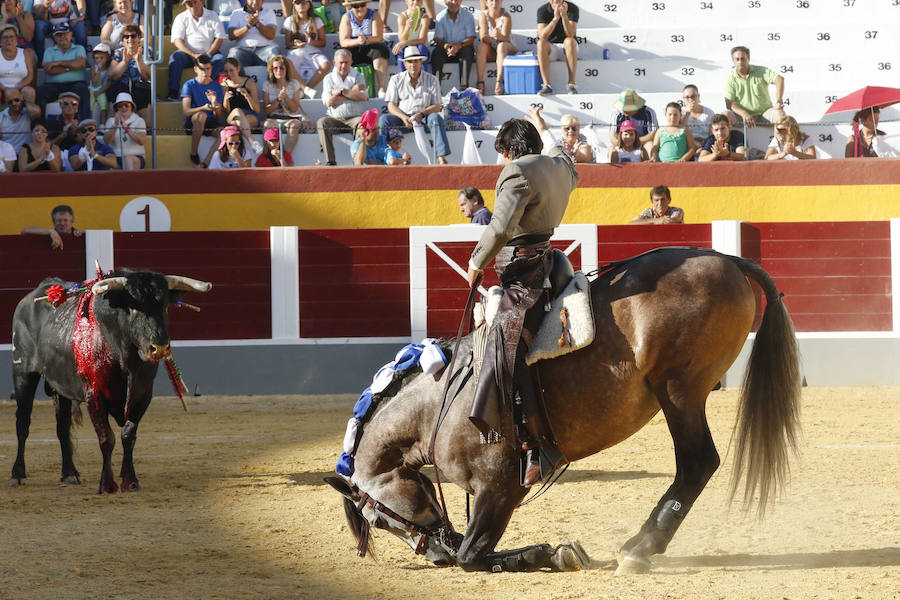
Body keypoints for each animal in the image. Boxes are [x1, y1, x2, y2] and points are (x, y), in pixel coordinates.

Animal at [11, 270, 212, 492]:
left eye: (164, 305)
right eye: (132, 308)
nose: (159, 348)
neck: (126, 358)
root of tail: (35, 294)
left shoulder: (143, 395)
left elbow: (128, 435)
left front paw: (131, 480)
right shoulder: (94, 395)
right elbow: (107, 438)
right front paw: (107, 484)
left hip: (61, 385)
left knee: (62, 425)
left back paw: (70, 473)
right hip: (23, 373)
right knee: (23, 421)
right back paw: (17, 474)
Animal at [326, 247, 800, 572]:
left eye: (379, 520)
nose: (435, 554)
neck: (436, 409)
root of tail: (723, 257)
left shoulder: (500, 486)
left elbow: (473, 554)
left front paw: (547, 553)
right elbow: (474, 551)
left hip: (679, 391)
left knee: (697, 462)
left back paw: (641, 548)